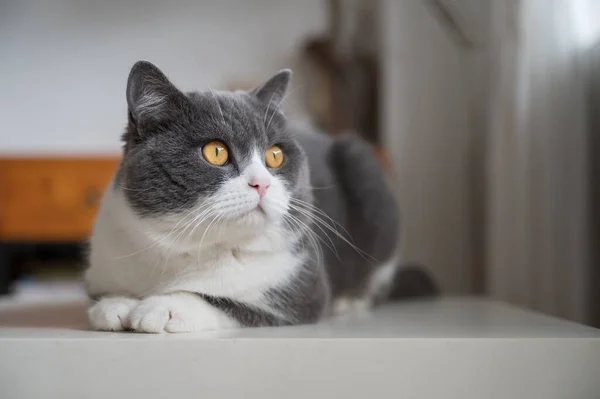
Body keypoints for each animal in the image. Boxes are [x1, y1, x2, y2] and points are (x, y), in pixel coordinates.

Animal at [84, 60, 436, 334]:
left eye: (275, 155)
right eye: (215, 152)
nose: (261, 184)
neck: (189, 249)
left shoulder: (302, 287)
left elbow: (227, 302)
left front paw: (164, 307)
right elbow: (101, 295)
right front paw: (115, 304)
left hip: (363, 167)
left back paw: (349, 303)